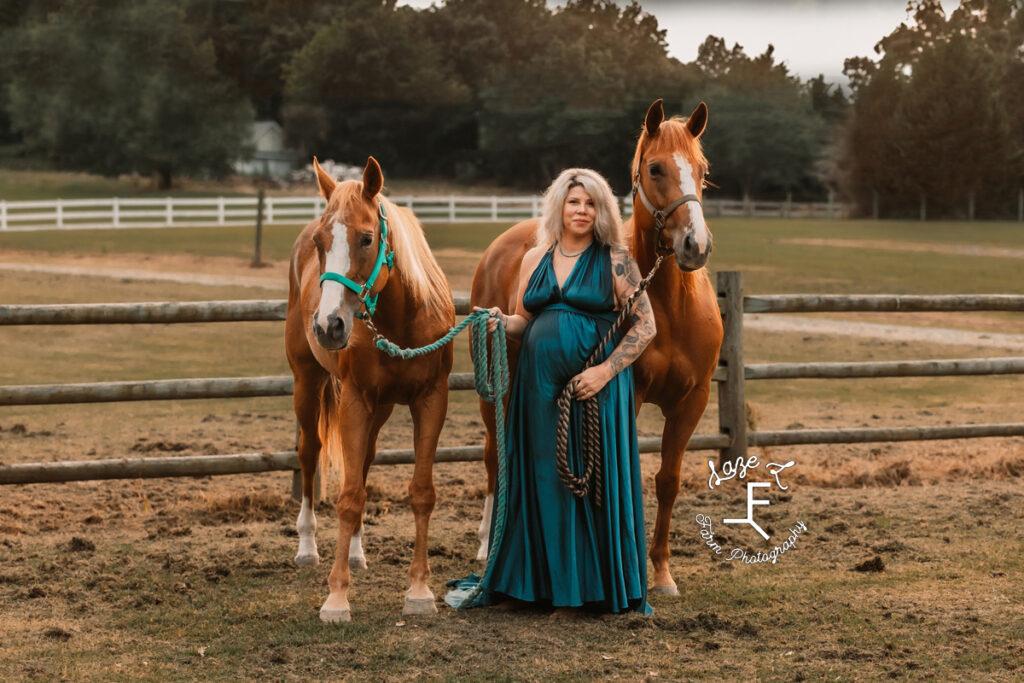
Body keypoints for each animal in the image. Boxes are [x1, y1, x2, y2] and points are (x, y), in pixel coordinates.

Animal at [282, 157, 454, 622]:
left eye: (366, 238)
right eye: (322, 241)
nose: (329, 326)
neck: (401, 319)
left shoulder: (431, 400)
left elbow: (420, 493)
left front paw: (419, 590)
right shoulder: (355, 400)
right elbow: (348, 496)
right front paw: (337, 597)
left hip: (380, 409)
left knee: (365, 463)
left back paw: (357, 553)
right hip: (308, 384)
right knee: (310, 453)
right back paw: (307, 546)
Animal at [468, 98, 720, 593]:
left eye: (702, 170)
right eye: (656, 168)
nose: (695, 245)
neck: (670, 305)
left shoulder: (693, 401)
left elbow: (668, 480)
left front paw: (661, 573)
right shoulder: (629, 392)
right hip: (494, 393)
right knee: (493, 458)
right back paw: (489, 544)